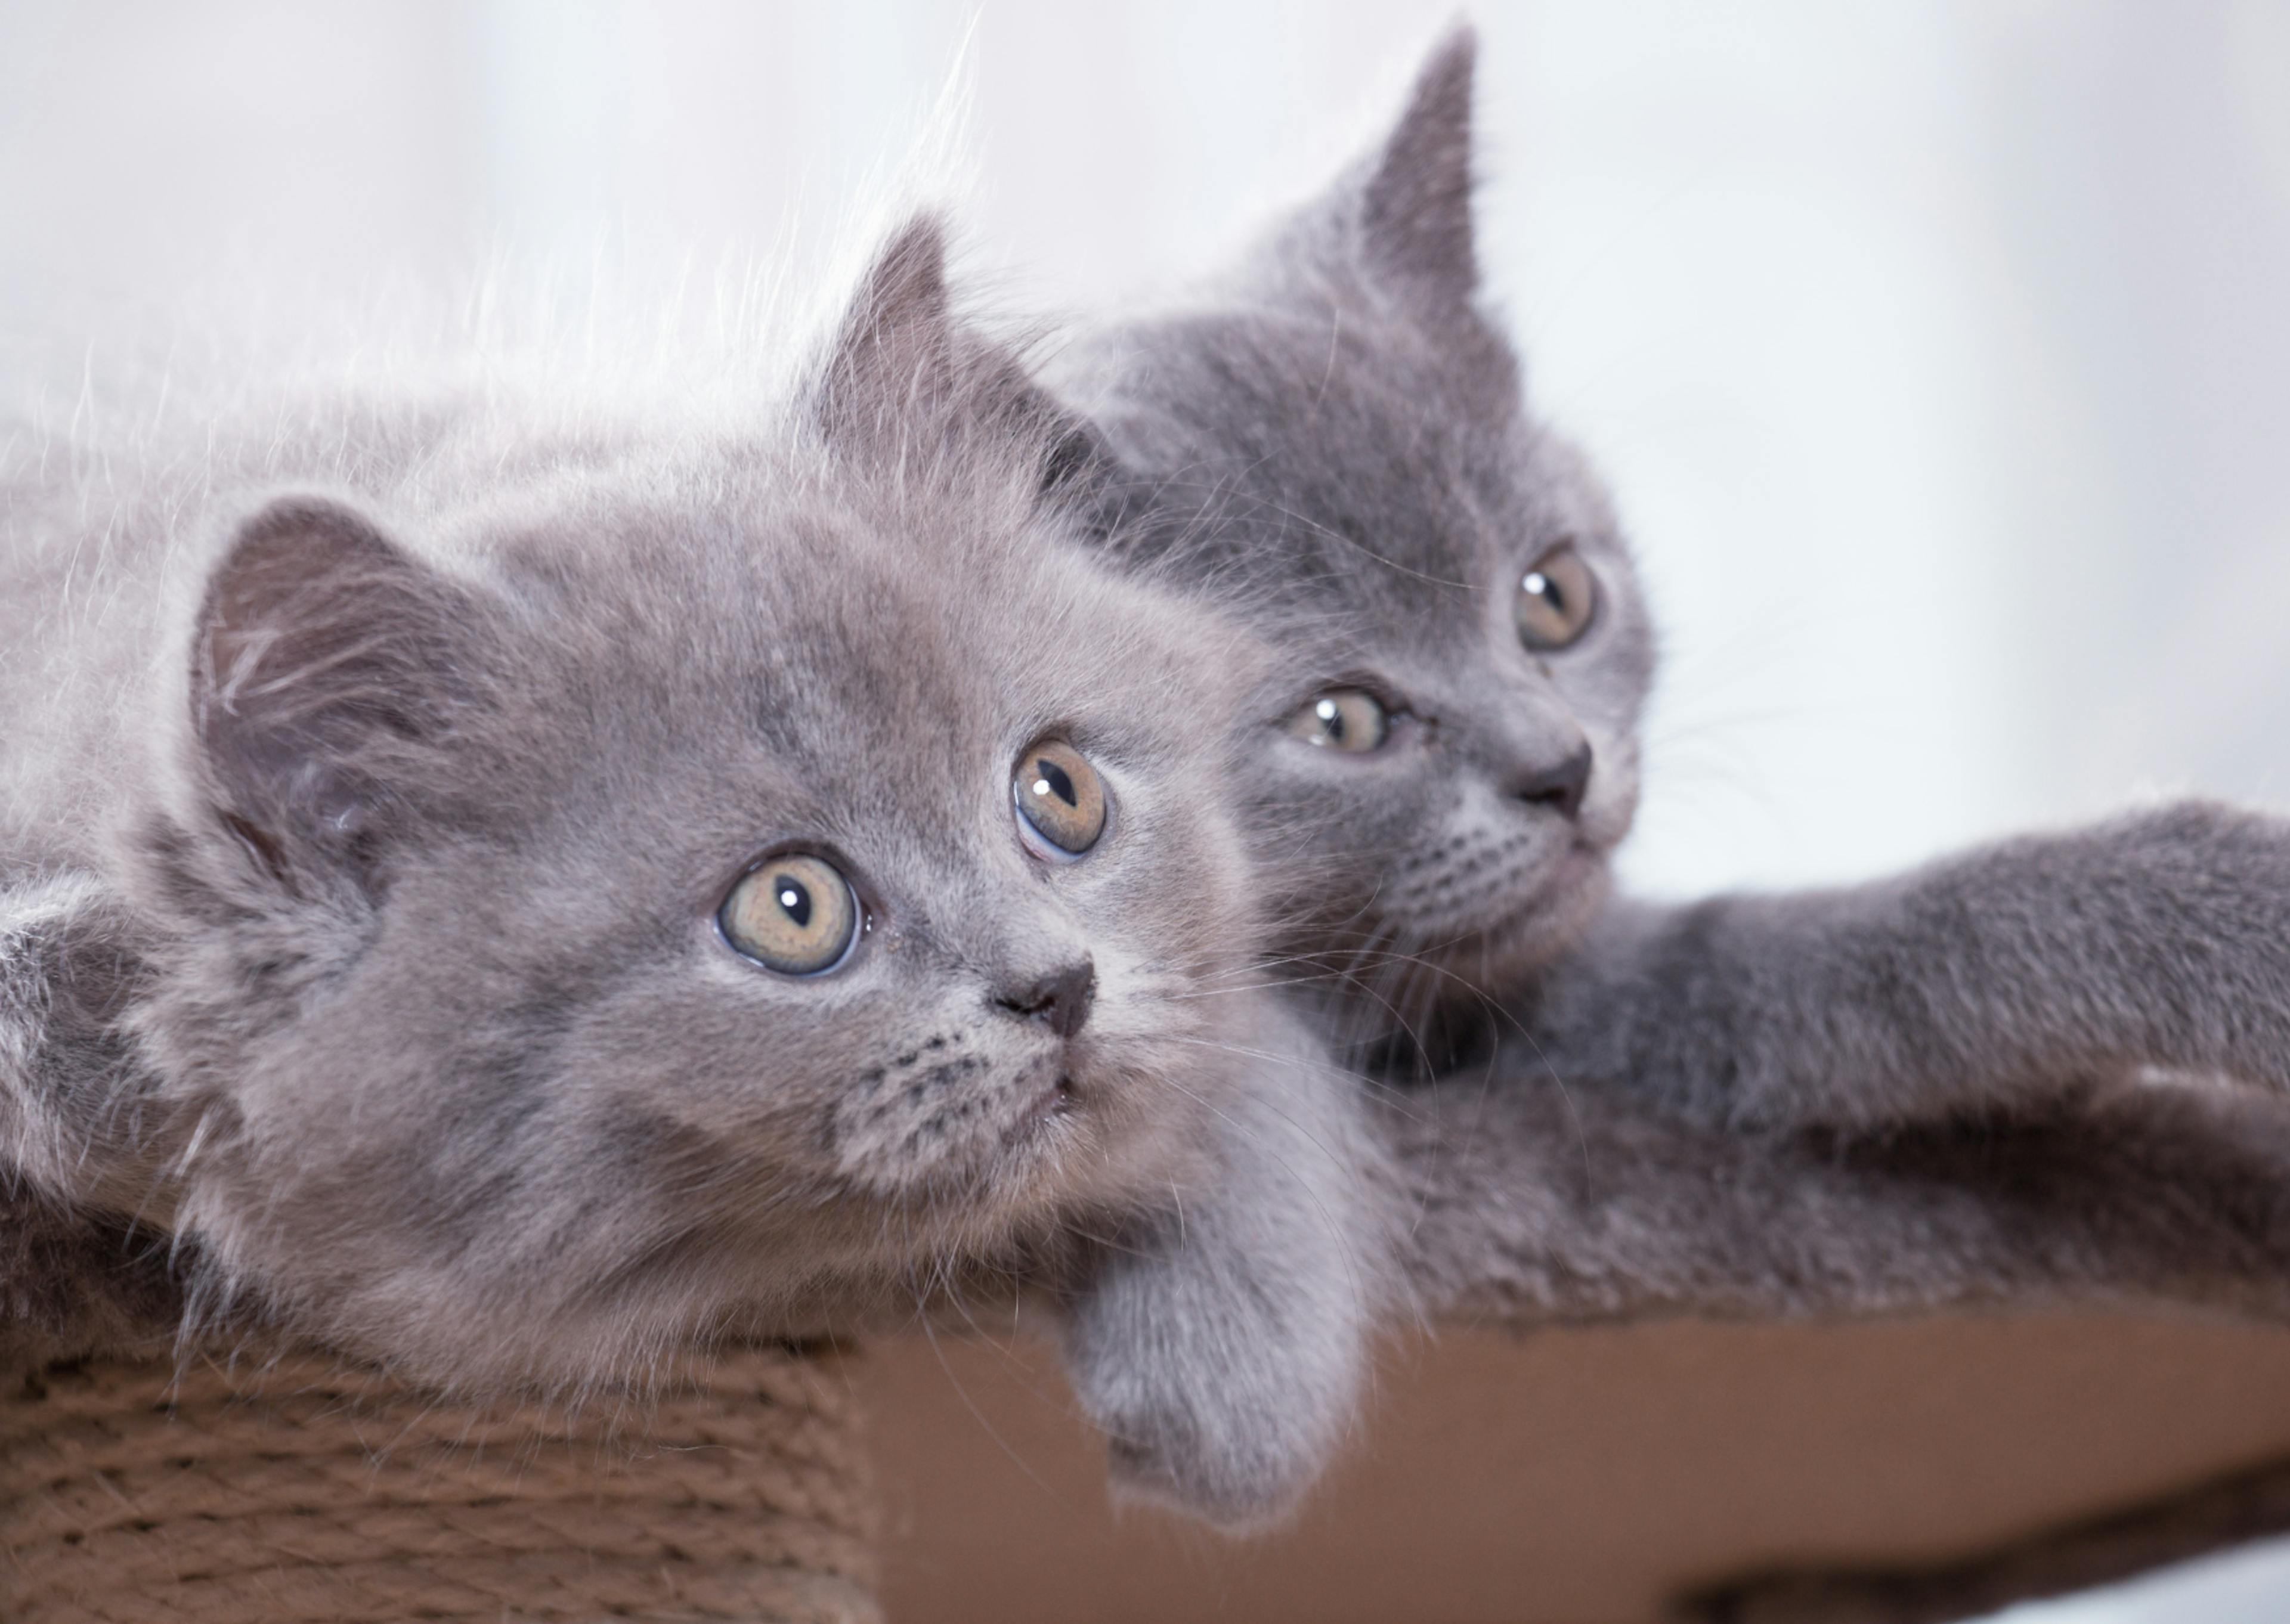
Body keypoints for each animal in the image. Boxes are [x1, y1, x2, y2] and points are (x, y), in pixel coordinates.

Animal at [0, 212, 1392, 1521]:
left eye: (1060, 792)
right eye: (792, 909)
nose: (1058, 987)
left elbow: (1238, 1050)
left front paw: (1233, 1380)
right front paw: (87, 1044)